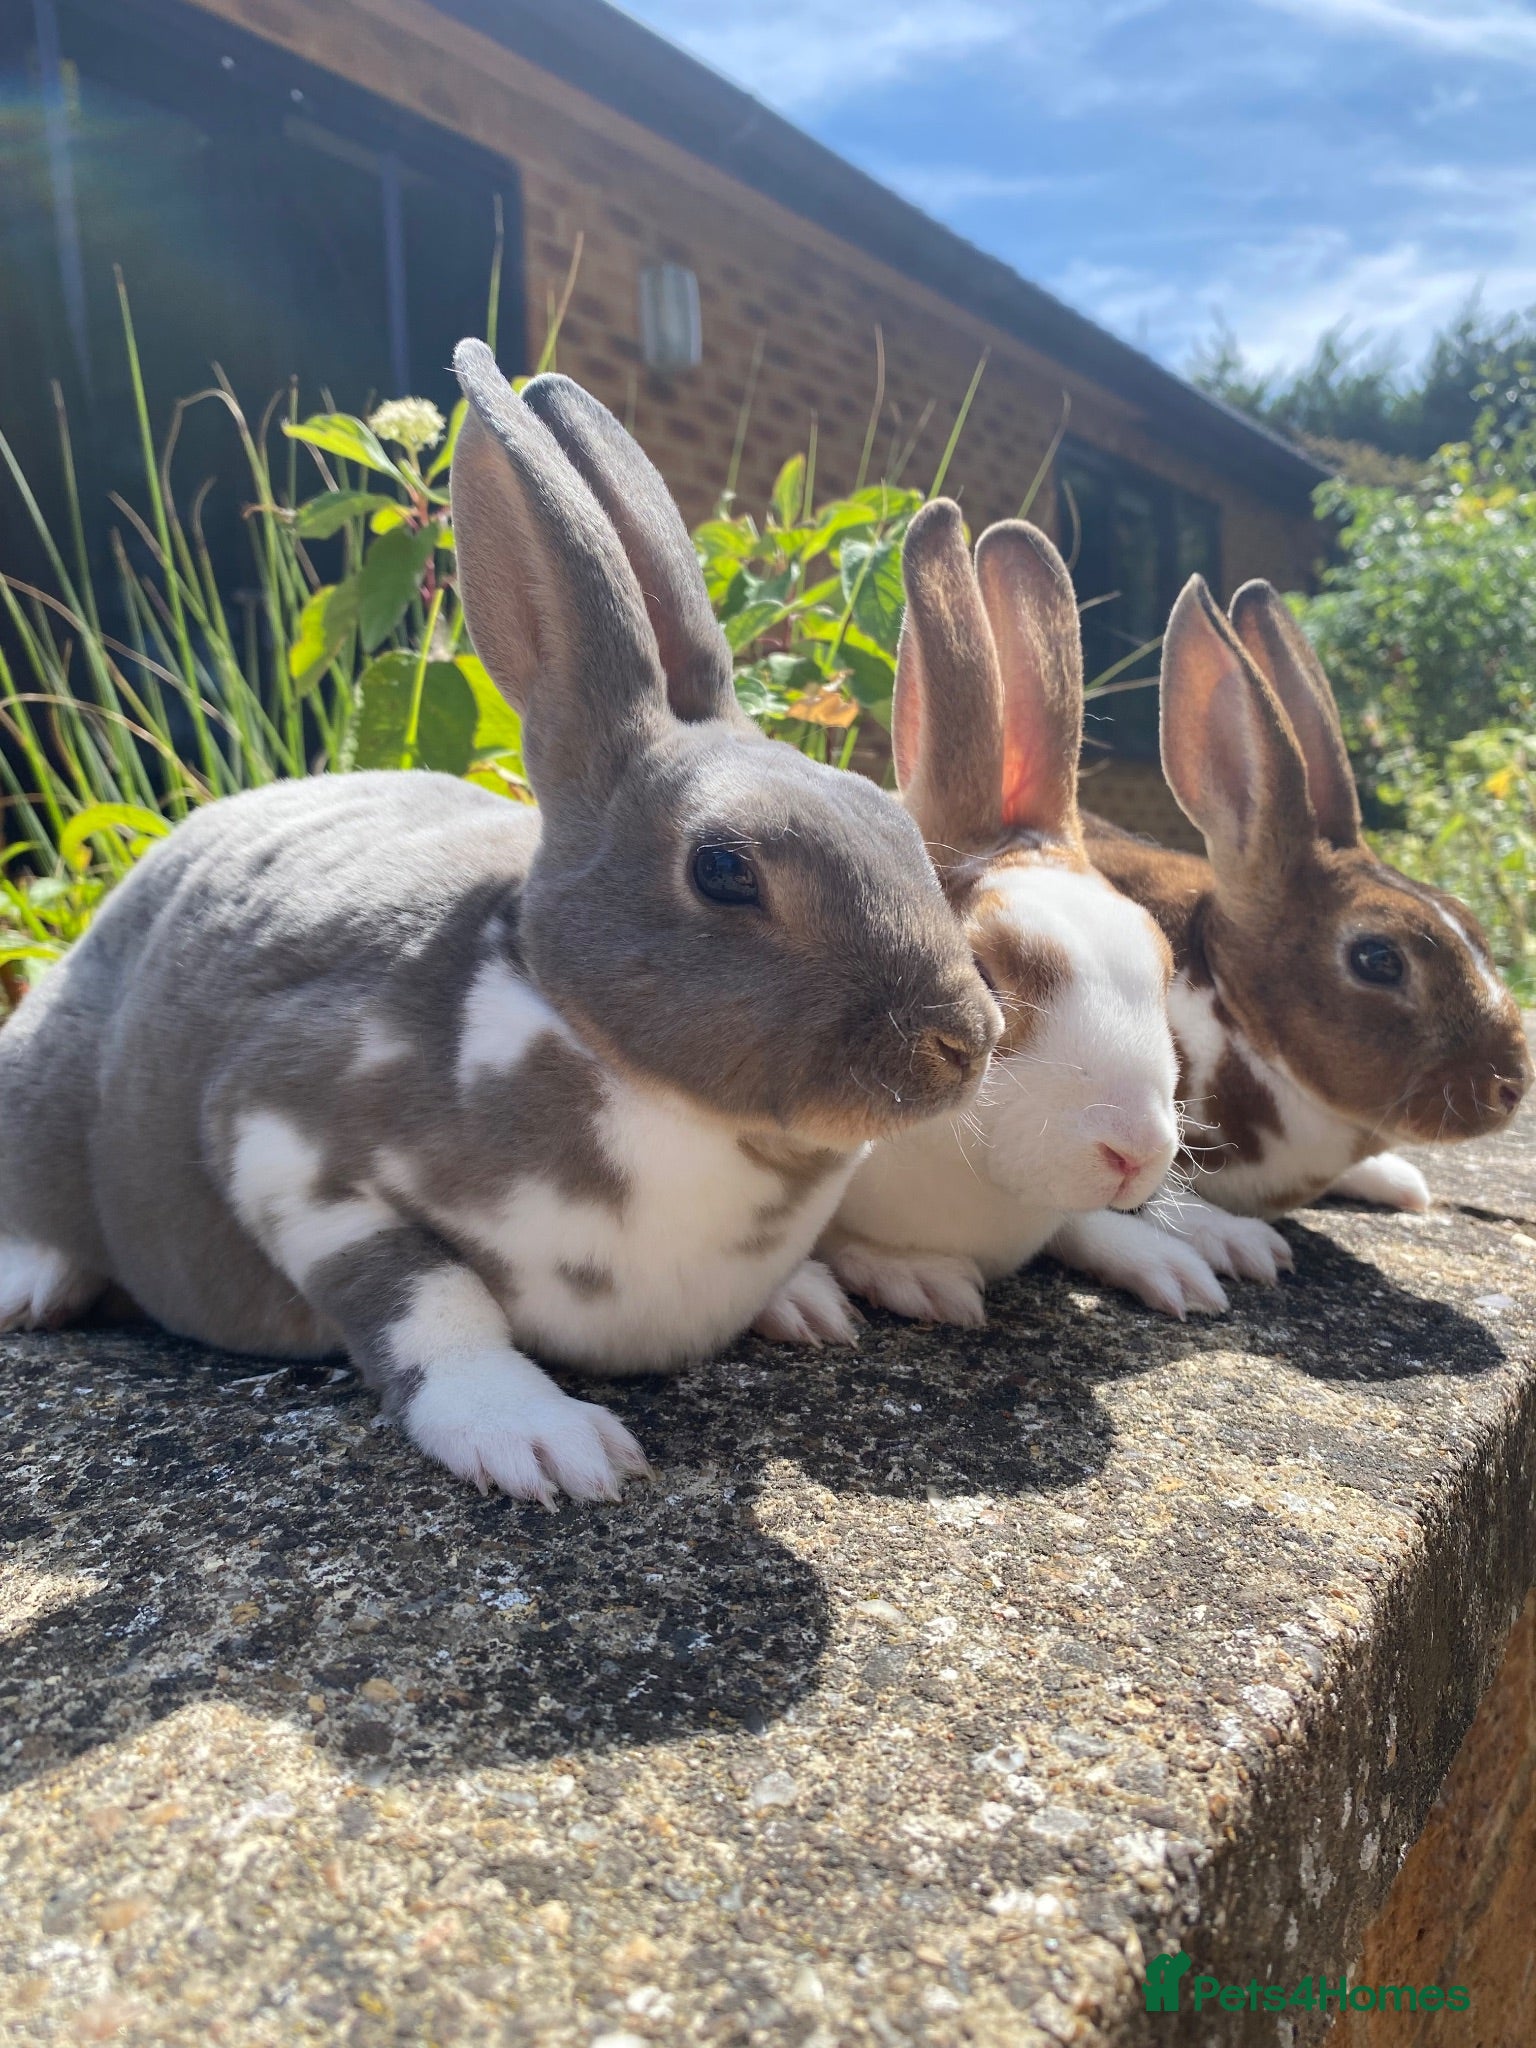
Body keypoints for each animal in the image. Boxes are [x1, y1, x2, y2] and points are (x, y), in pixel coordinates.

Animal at [0, 345, 1001, 1504]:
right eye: (722, 869)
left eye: (898, 825)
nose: (967, 1041)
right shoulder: (283, 1142)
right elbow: (428, 1297)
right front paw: (545, 1439)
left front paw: (872, 1277)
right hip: (46, 1072)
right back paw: (30, 1282)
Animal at [818, 499, 1292, 1327]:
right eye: (983, 974)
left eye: (1159, 963)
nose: (1136, 1154)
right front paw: (911, 1277)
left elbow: (1086, 1224)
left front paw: (1175, 1269)